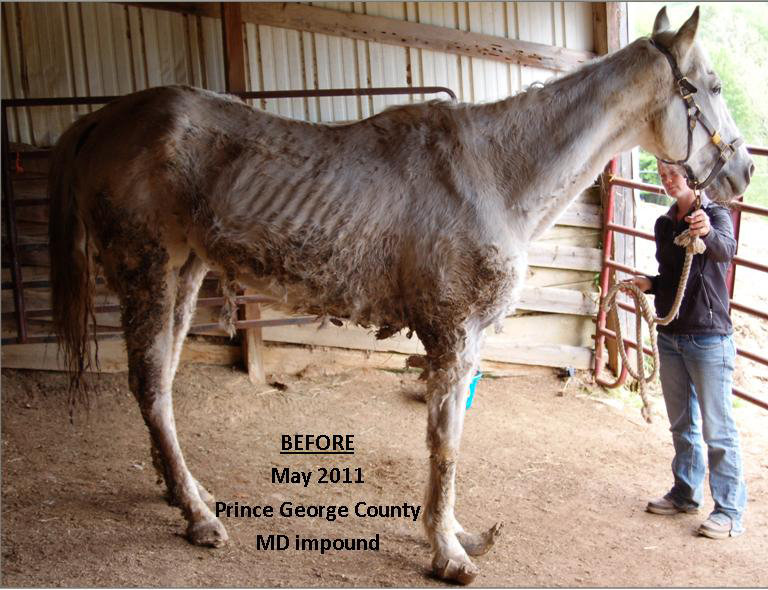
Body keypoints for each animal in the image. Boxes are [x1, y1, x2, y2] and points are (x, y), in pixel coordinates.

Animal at [48, 6, 752, 584]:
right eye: (713, 87)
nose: (744, 171)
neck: (492, 172)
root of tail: (103, 118)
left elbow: (451, 438)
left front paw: (459, 534)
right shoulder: (454, 337)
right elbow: (446, 445)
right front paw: (449, 555)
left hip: (186, 273)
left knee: (161, 383)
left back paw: (180, 492)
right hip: (149, 271)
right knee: (150, 384)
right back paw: (198, 517)